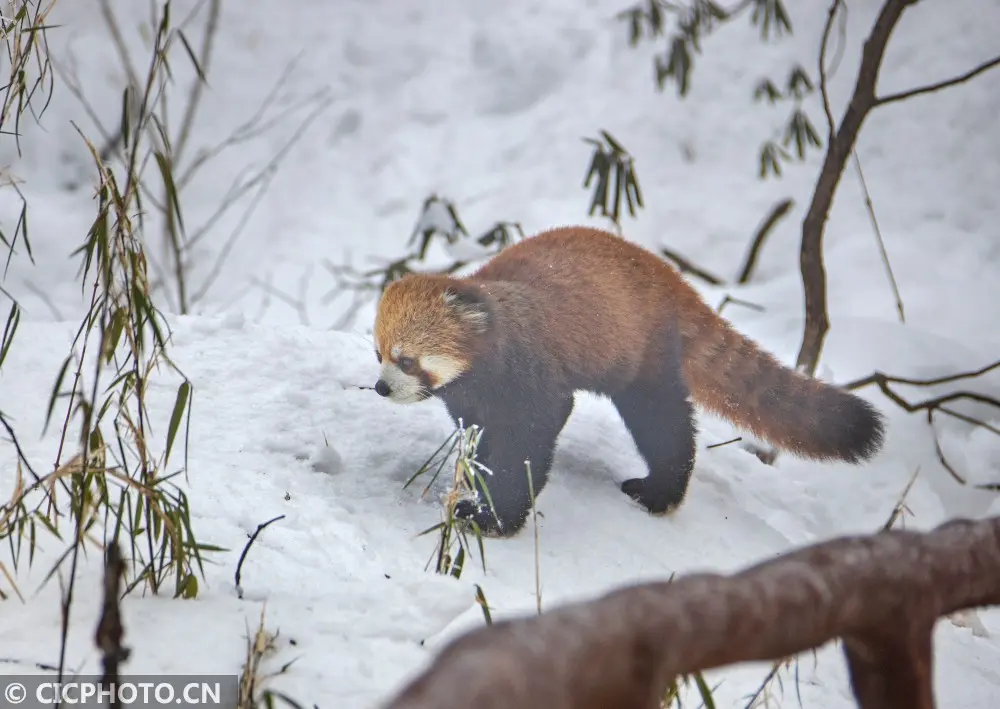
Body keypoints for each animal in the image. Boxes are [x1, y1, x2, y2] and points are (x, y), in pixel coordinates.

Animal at [374, 224, 884, 532]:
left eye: (406, 360)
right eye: (378, 353)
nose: (381, 387)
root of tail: (670, 276)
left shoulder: (531, 373)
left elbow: (531, 437)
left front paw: (494, 514)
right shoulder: (471, 398)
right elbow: (480, 436)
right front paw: (474, 484)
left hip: (642, 353)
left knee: (664, 423)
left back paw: (661, 491)